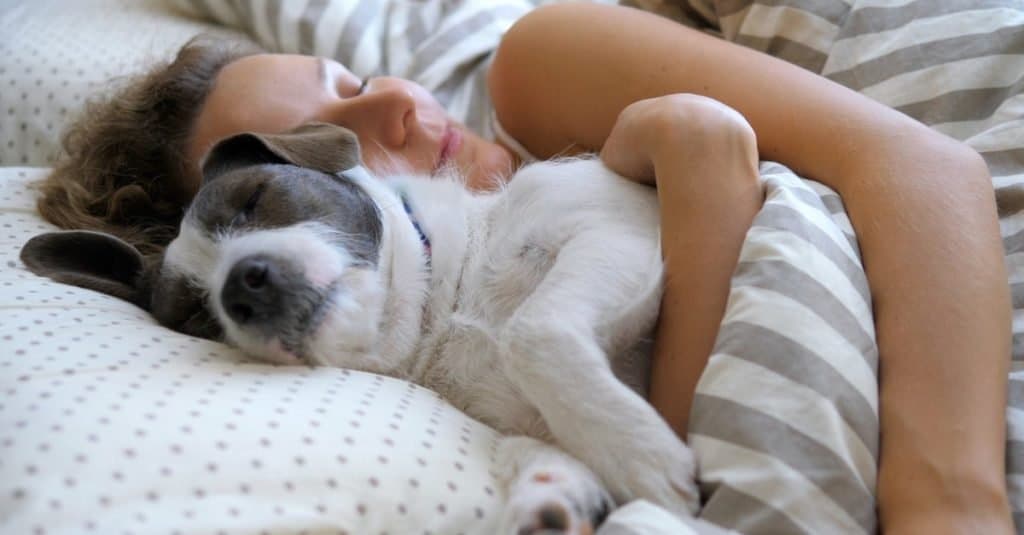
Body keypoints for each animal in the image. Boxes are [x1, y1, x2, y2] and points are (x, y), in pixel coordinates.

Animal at [19, 121, 700, 532]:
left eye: (254, 197)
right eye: (194, 314)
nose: (241, 285)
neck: (448, 302)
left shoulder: (617, 232)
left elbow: (534, 332)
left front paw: (644, 458)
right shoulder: (509, 416)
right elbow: (531, 443)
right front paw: (554, 495)